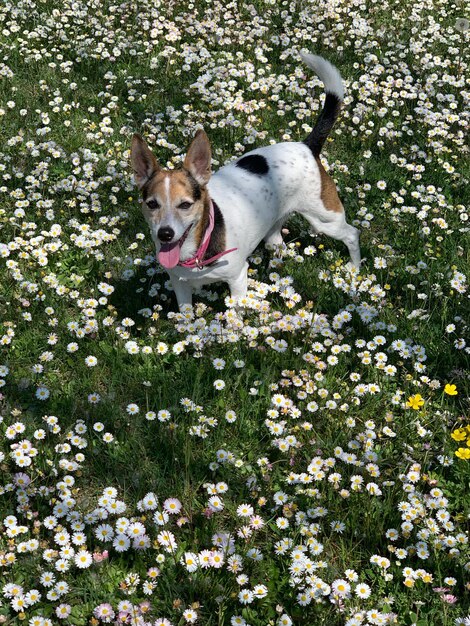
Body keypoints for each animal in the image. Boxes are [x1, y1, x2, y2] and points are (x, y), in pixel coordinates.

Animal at [130, 52, 362, 310]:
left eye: (185, 205)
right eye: (152, 204)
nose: (165, 234)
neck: (199, 243)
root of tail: (307, 146)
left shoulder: (237, 278)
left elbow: (237, 312)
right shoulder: (180, 284)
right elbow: (185, 312)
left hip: (324, 218)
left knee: (351, 234)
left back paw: (354, 270)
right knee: (277, 241)